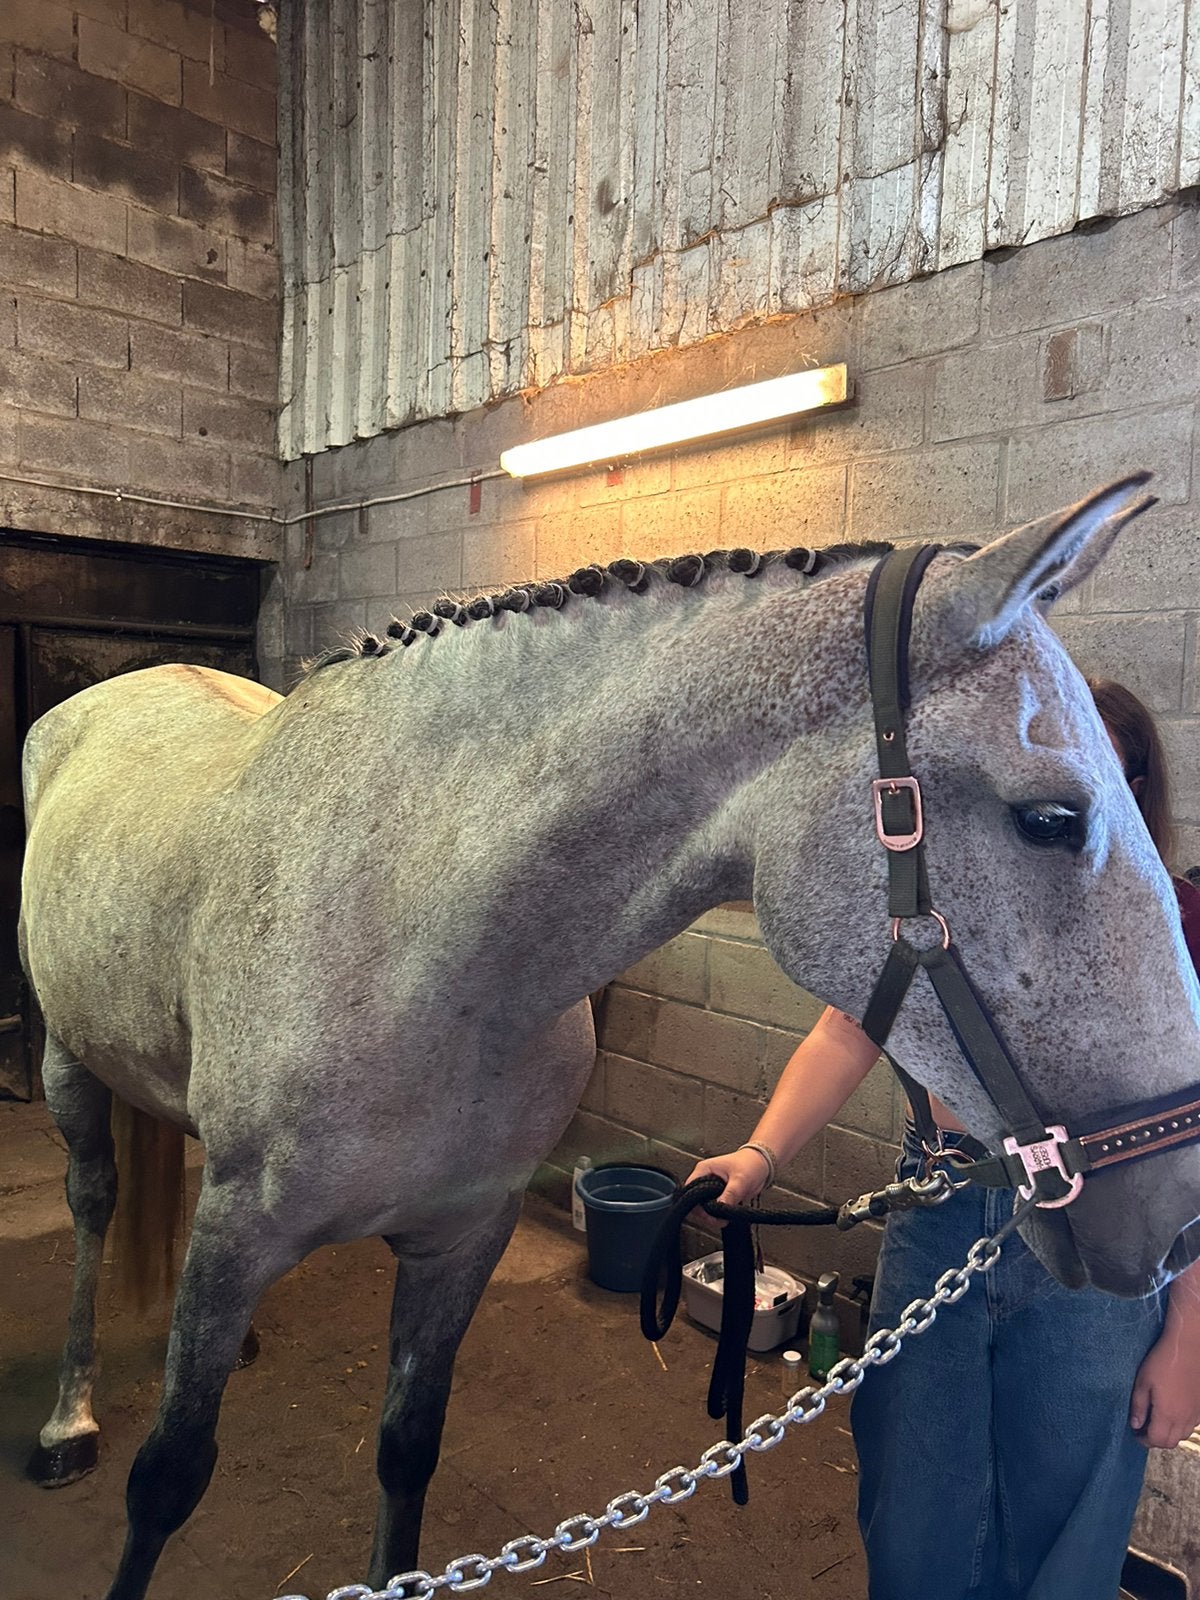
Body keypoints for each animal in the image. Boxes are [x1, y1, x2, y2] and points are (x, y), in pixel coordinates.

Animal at [16, 474, 1200, 1600]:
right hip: (67, 1063)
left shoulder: (465, 1236)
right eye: (1050, 818)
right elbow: (167, 1479)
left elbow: (406, 1454)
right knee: (92, 1204)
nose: (1178, 1219)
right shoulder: (238, 1234)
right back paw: (68, 1419)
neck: (414, 932)